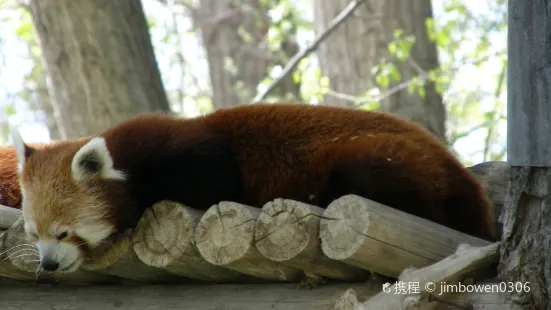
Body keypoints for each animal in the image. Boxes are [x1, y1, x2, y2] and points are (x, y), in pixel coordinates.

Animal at [11, 103, 496, 272]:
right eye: (34, 235)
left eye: (64, 233)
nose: (49, 265)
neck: (130, 158)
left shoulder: (193, 153)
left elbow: (214, 183)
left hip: (384, 157)